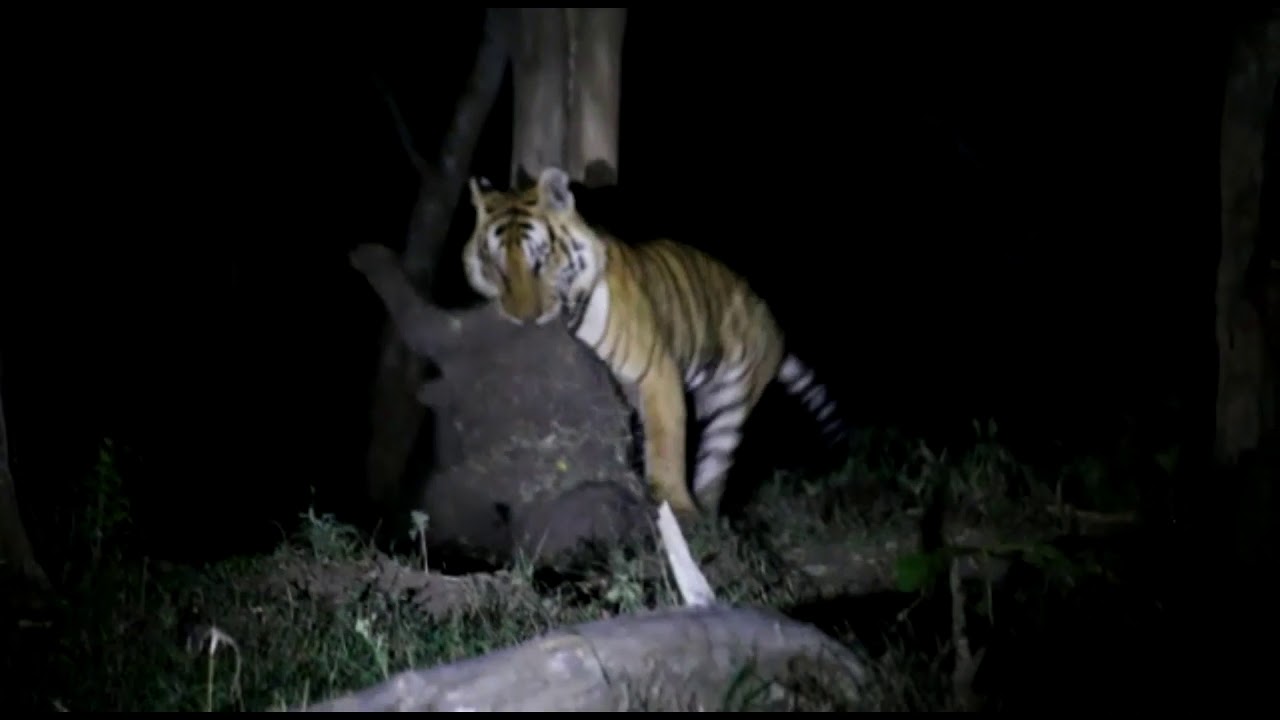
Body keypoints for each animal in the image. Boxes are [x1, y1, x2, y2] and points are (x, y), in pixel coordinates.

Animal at [462, 166, 849, 520]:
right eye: (496, 265)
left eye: (540, 261)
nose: (524, 319)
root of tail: (775, 329)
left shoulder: (656, 372)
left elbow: (665, 442)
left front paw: (674, 505)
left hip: (729, 404)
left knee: (715, 468)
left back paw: (703, 520)